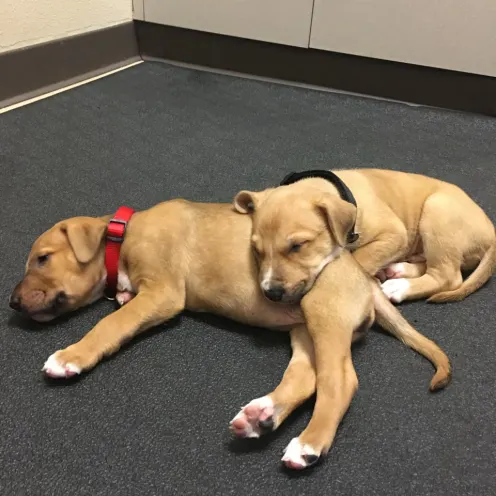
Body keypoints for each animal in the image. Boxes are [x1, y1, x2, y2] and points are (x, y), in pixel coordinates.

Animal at [233, 169, 496, 304]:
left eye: (298, 245)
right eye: (256, 251)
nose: (270, 293)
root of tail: (492, 232)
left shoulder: (394, 233)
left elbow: (361, 258)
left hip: (437, 212)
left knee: (448, 276)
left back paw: (399, 287)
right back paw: (397, 270)